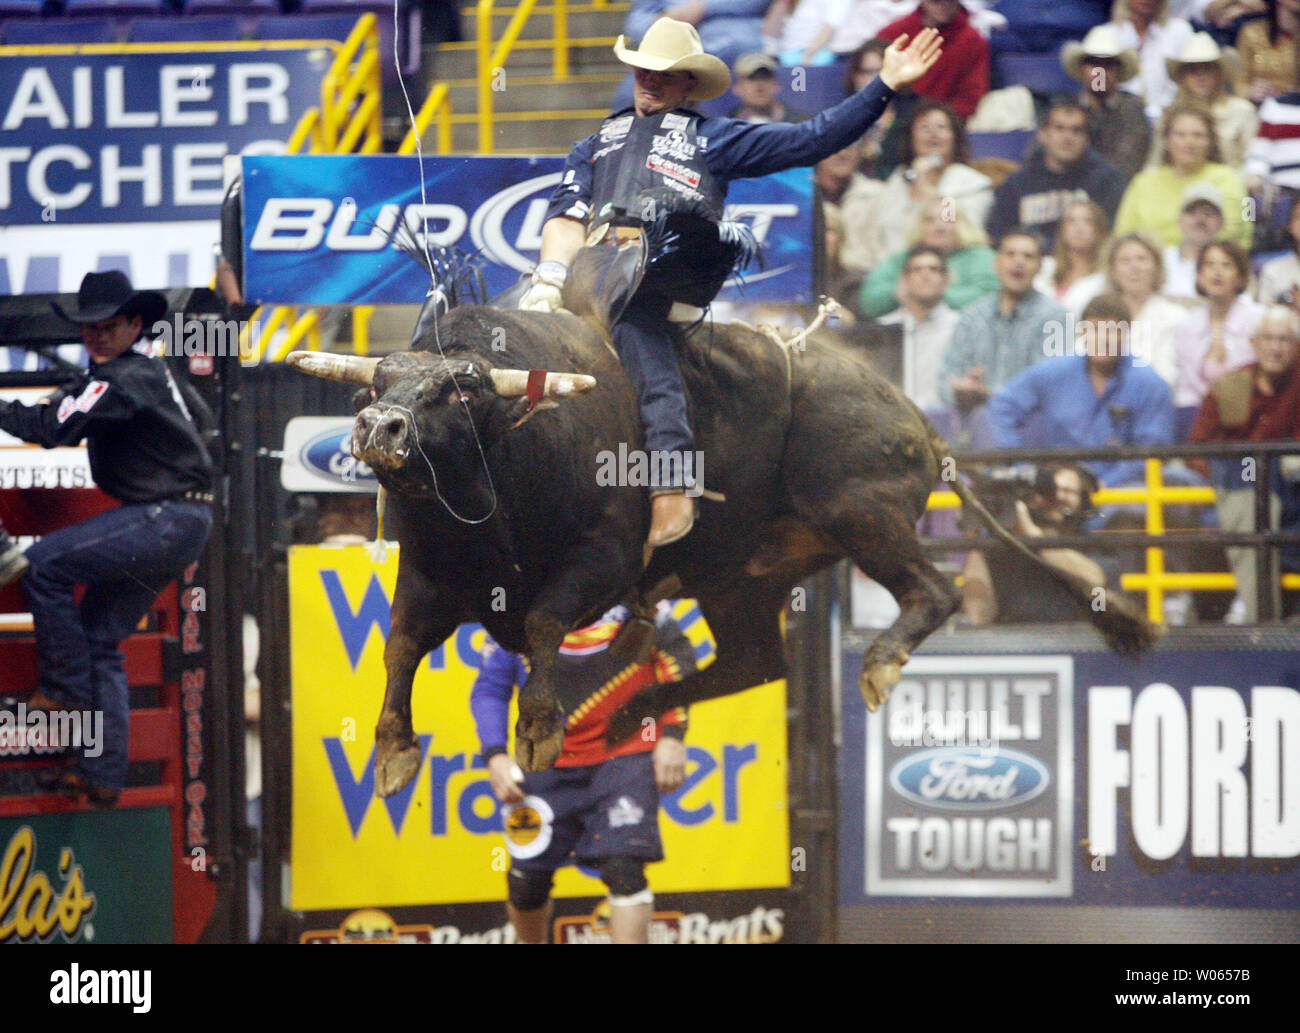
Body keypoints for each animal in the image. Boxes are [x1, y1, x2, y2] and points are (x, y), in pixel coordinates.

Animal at [287, 246, 1159, 795]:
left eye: (461, 389)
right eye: (381, 380)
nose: (380, 427)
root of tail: (915, 415)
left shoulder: (603, 560)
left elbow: (540, 621)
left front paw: (537, 724)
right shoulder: (429, 577)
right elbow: (400, 647)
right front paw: (394, 750)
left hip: (862, 513)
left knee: (931, 592)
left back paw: (877, 663)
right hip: (741, 580)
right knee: (753, 661)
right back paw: (636, 710)